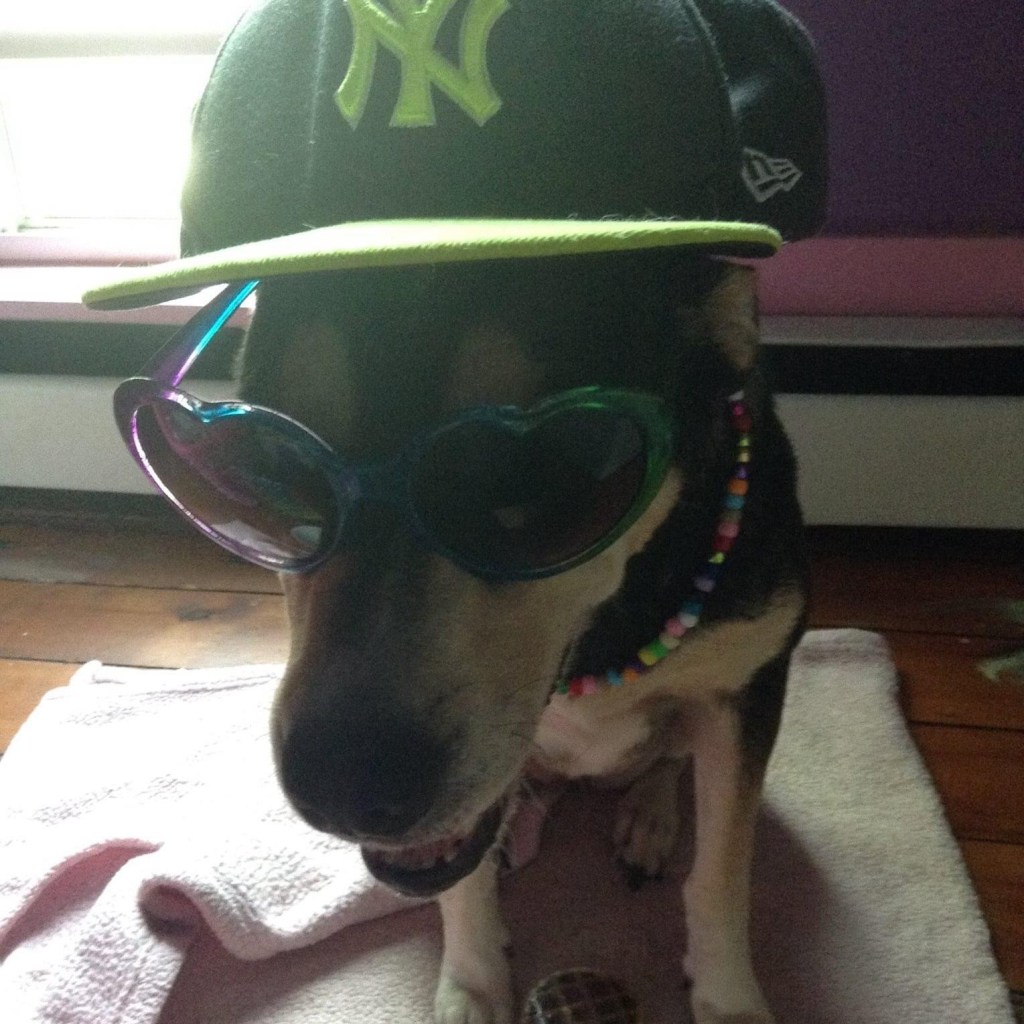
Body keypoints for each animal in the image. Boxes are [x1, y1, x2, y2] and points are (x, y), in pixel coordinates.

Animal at [241, 249, 807, 1024]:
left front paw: (728, 1001)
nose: (341, 786)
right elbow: (463, 881)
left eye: (537, 469)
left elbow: (722, 874)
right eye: (276, 460)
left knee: (667, 759)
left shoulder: (746, 684)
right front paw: (474, 983)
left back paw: (649, 816)